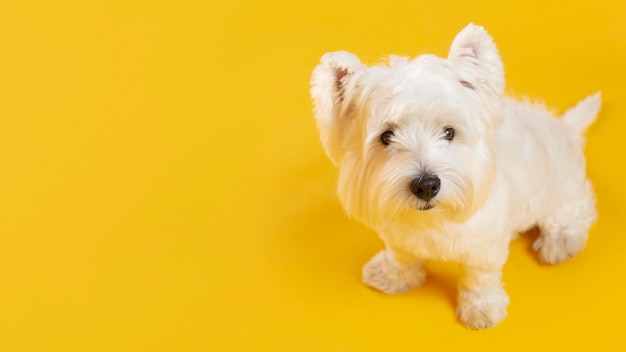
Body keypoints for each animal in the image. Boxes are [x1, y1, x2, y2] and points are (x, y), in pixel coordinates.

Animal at [310, 23, 596, 328]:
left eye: (449, 131)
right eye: (386, 136)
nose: (426, 185)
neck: (431, 220)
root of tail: (564, 127)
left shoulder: (484, 245)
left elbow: (479, 276)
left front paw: (480, 307)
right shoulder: (397, 234)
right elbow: (402, 255)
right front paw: (394, 275)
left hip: (560, 189)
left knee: (577, 208)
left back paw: (561, 240)